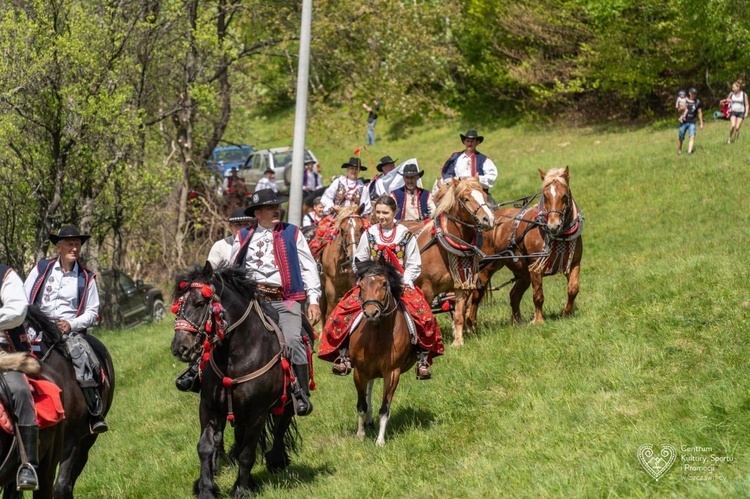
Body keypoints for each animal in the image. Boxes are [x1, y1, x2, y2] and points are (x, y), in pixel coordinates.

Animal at [350, 260, 414, 448]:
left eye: (384, 284)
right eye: (360, 286)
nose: (371, 313)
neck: (377, 336)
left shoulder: (392, 373)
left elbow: (385, 409)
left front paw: (380, 440)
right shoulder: (359, 371)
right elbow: (361, 405)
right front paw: (360, 434)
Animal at [412, 177, 494, 348]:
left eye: (484, 195)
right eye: (466, 199)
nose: (488, 219)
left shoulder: (460, 285)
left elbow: (459, 315)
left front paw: (458, 342)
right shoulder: (426, 289)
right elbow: (427, 317)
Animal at [468, 167, 584, 332]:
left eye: (564, 195)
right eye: (545, 196)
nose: (553, 226)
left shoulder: (573, 263)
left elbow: (573, 289)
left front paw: (566, 312)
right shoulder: (535, 268)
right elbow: (538, 295)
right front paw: (538, 321)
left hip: (522, 273)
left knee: (514, 295)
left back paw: (517, 321)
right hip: (487, 267)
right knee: (477, 294)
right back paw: (471, 325)